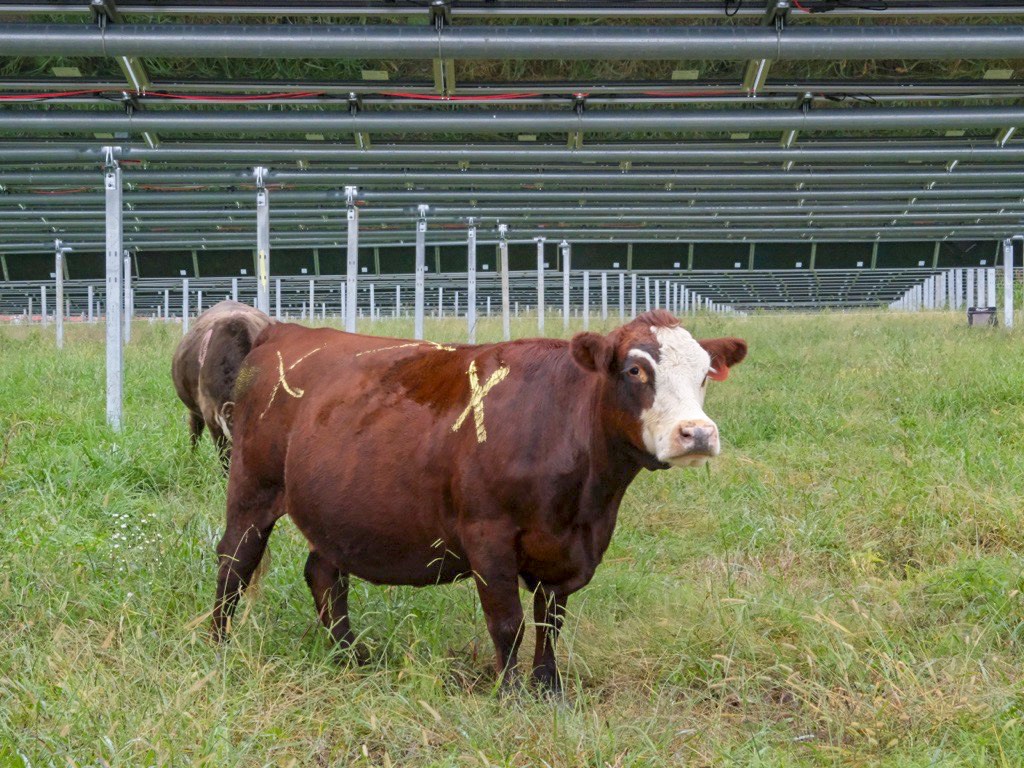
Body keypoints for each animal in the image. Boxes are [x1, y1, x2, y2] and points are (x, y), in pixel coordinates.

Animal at [212, 310, 747, 691]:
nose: (697, 433)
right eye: (636, 369)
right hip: (252, 487)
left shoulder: (570, 546)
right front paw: (509, 692)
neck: (586, 501)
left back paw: (350, 655)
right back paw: (219, 644)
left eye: (704, 374)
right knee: (234, 562)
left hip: (334, 510)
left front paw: (548, 686)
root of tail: (280, 331)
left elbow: (550, 619)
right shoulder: (487, 534)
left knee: (324, 575)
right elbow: (507, 621)